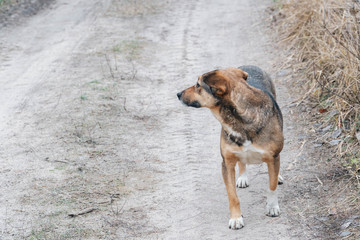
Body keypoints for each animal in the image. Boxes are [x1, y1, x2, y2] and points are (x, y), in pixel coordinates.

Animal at [177, 65, 284, 229]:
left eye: (198, 85)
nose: (178, 94)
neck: (240, 117)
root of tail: (249, 65)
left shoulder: (273, 156)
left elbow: (271, 186)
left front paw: (272, 207)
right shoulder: (227, 162)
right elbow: (232, 196)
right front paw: (236, 218)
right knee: (242, 162)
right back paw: (242, 177)